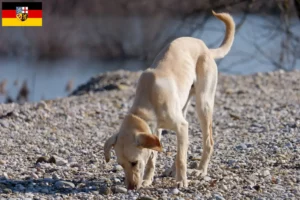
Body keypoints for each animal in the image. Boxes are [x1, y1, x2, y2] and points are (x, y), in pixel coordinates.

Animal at [104, 10, 236, 189]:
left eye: (134, 162)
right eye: (121, 164)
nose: (131, 188)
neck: (148, 99)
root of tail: (205, 47)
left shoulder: (180, 126)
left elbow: (181, 158)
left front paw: (181, 181)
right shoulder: (156, 130)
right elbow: (153, 158)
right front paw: (148, 180)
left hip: (203, 104)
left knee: (207, 141)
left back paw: (200, 170)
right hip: (184, 107)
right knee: (183, 146)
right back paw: (173, 170)